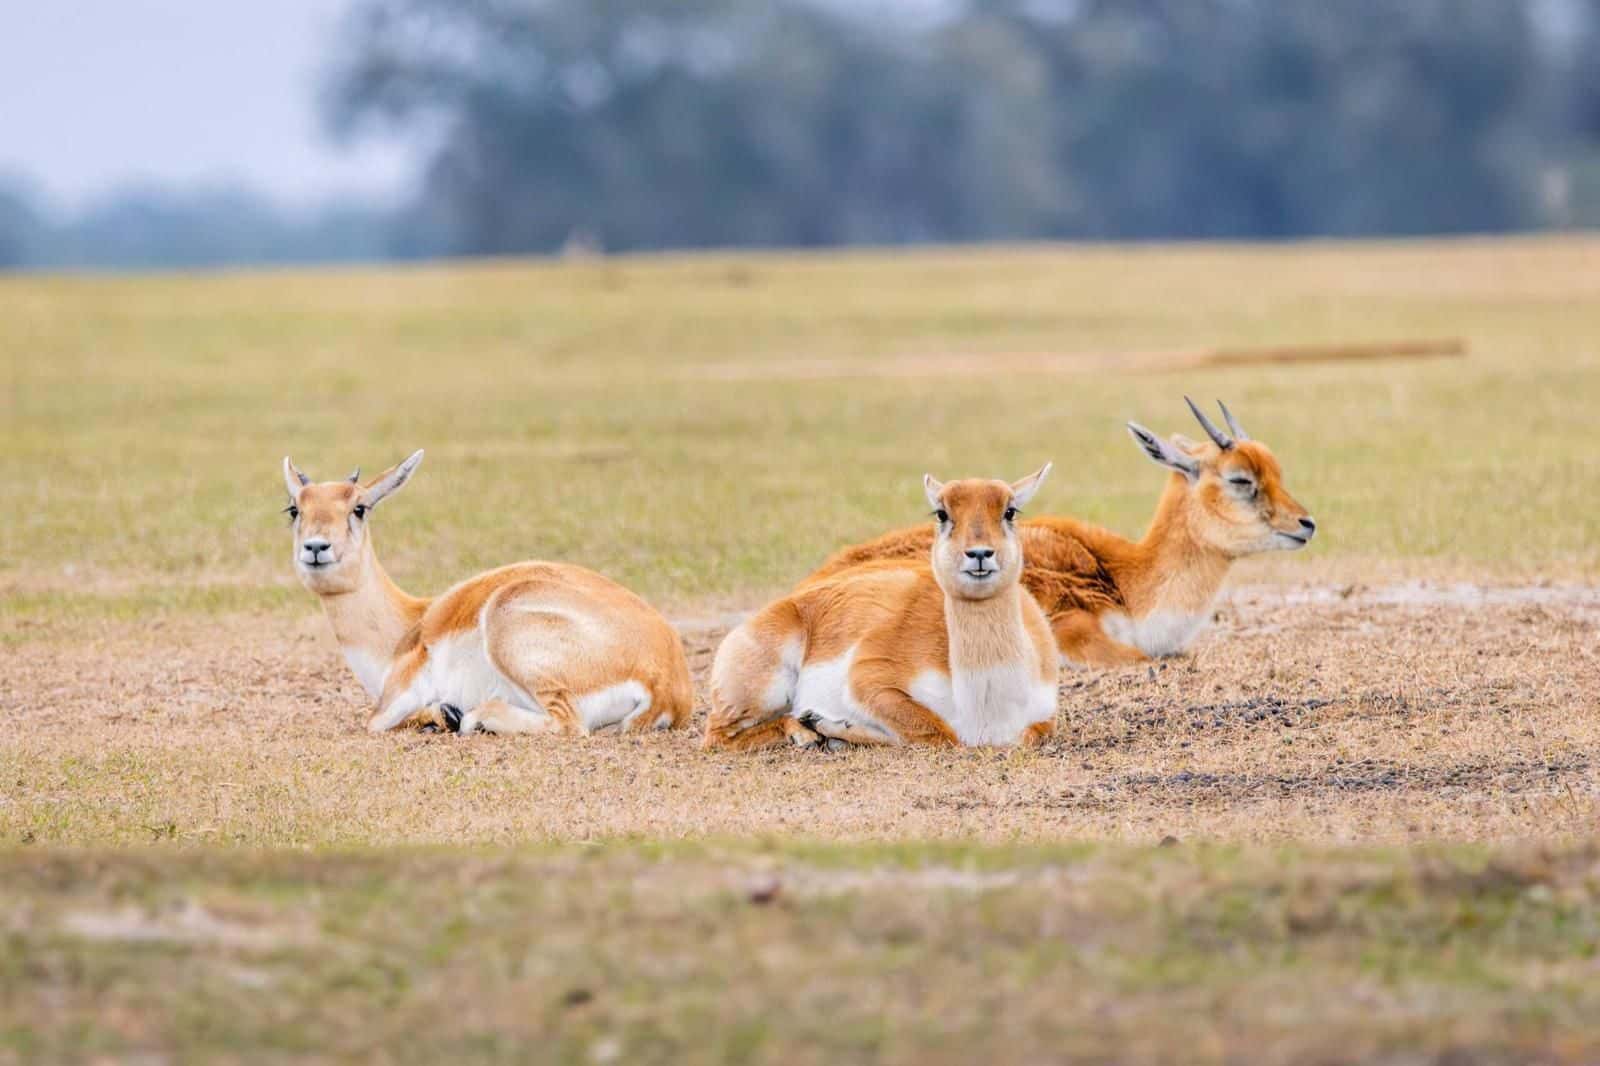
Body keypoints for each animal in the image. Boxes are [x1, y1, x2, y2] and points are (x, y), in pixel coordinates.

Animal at [282, 450, 694, 736]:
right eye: (294, 509)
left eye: (359, 507)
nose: (316, 547)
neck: (407, 626)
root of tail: (666, 680)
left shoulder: (397, 697)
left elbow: (376, 721)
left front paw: (444, 715)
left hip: (507, 622)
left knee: (566, 723)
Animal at [705, 466, 1059, 751]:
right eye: (941, 513)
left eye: (1010, 510)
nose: (980, 553)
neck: (985, 708)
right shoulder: (869, 679)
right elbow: (939, 734)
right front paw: (825, 726)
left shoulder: (1043, 719)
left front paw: (831, 729)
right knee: (717, 737)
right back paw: (805, 734)